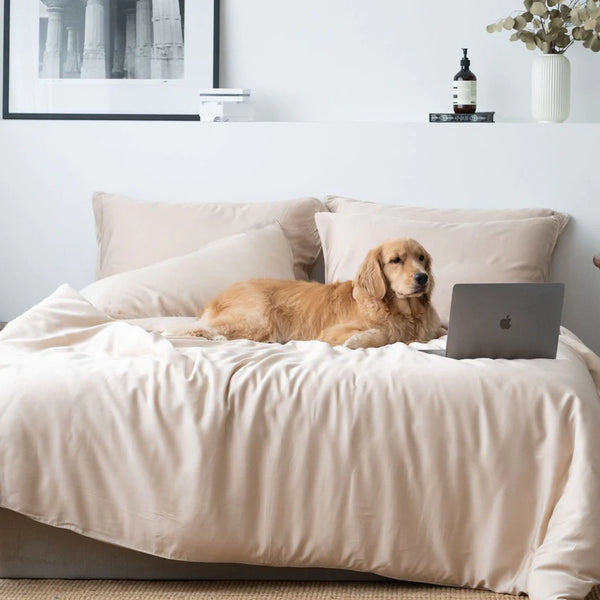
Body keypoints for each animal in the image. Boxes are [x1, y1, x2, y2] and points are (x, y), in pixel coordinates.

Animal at [185, 239, 442, 350]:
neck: (403, 312)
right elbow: (386, 334)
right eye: (396, 260)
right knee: (194, 327)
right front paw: (359, 340)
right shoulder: (330, 333)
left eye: (421, 258)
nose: (423, 278)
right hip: (259, 317)